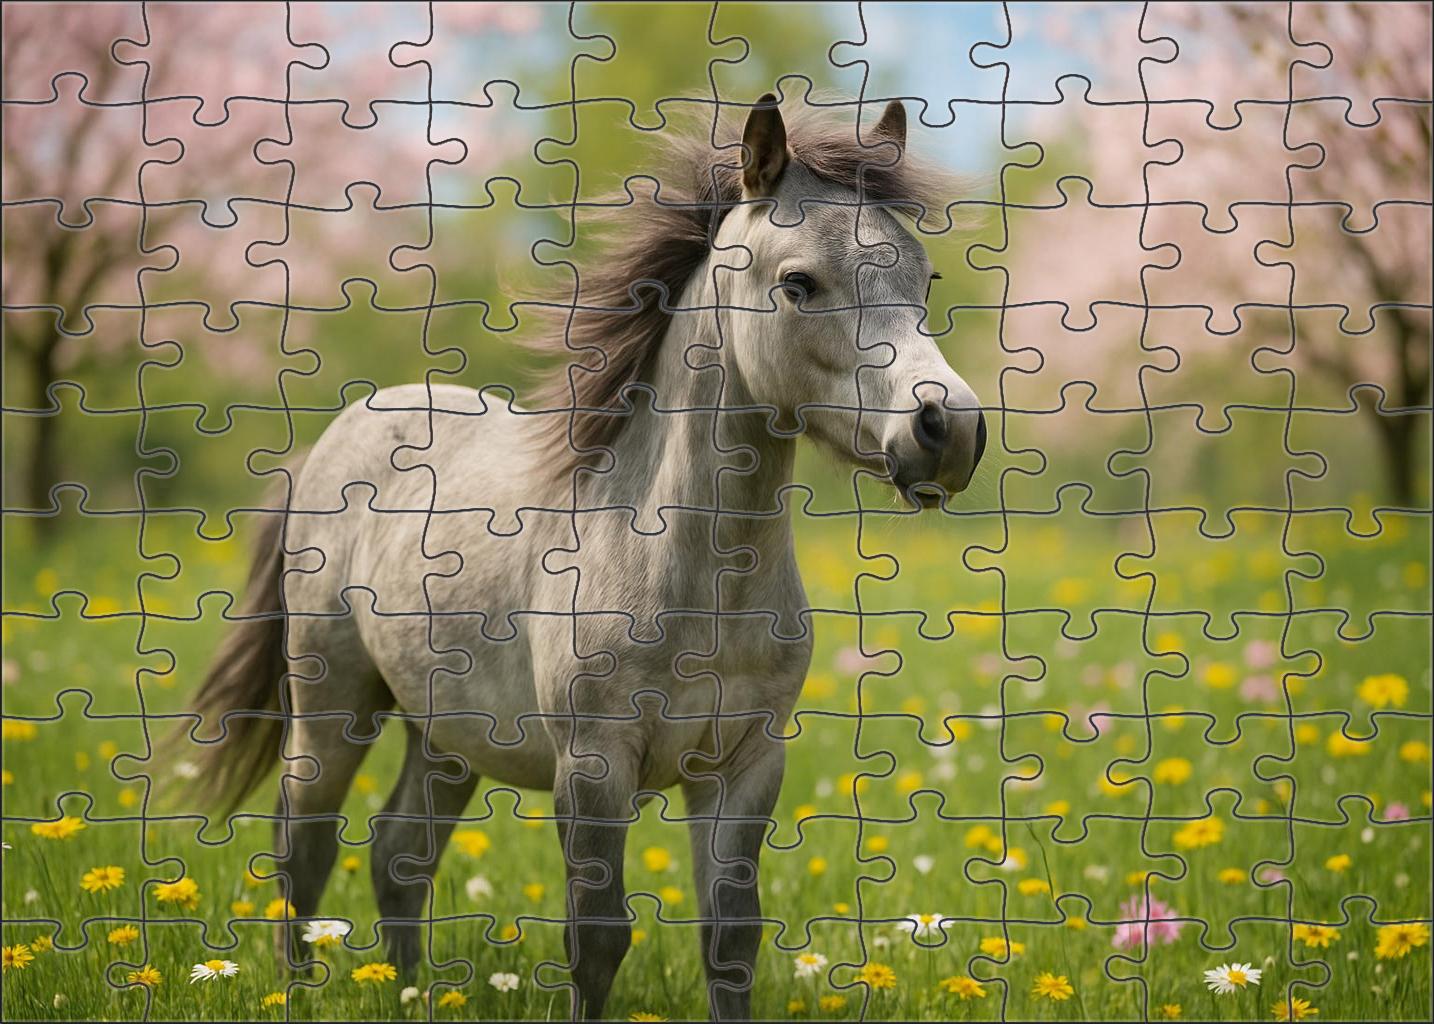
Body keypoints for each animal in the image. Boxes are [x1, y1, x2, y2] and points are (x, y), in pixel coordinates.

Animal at [185, 94, 985, 1021]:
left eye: (924, 281)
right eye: (798, 284)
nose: (949, 430)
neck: (682, 571)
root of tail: (338, 437)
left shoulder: (744, 767)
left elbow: (732, 941)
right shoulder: (594, 768)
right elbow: (597, 940)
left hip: (445, 735)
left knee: (397, 856)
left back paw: (409, 991)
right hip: (332, 707)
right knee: (302, 846)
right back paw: (298, 990)